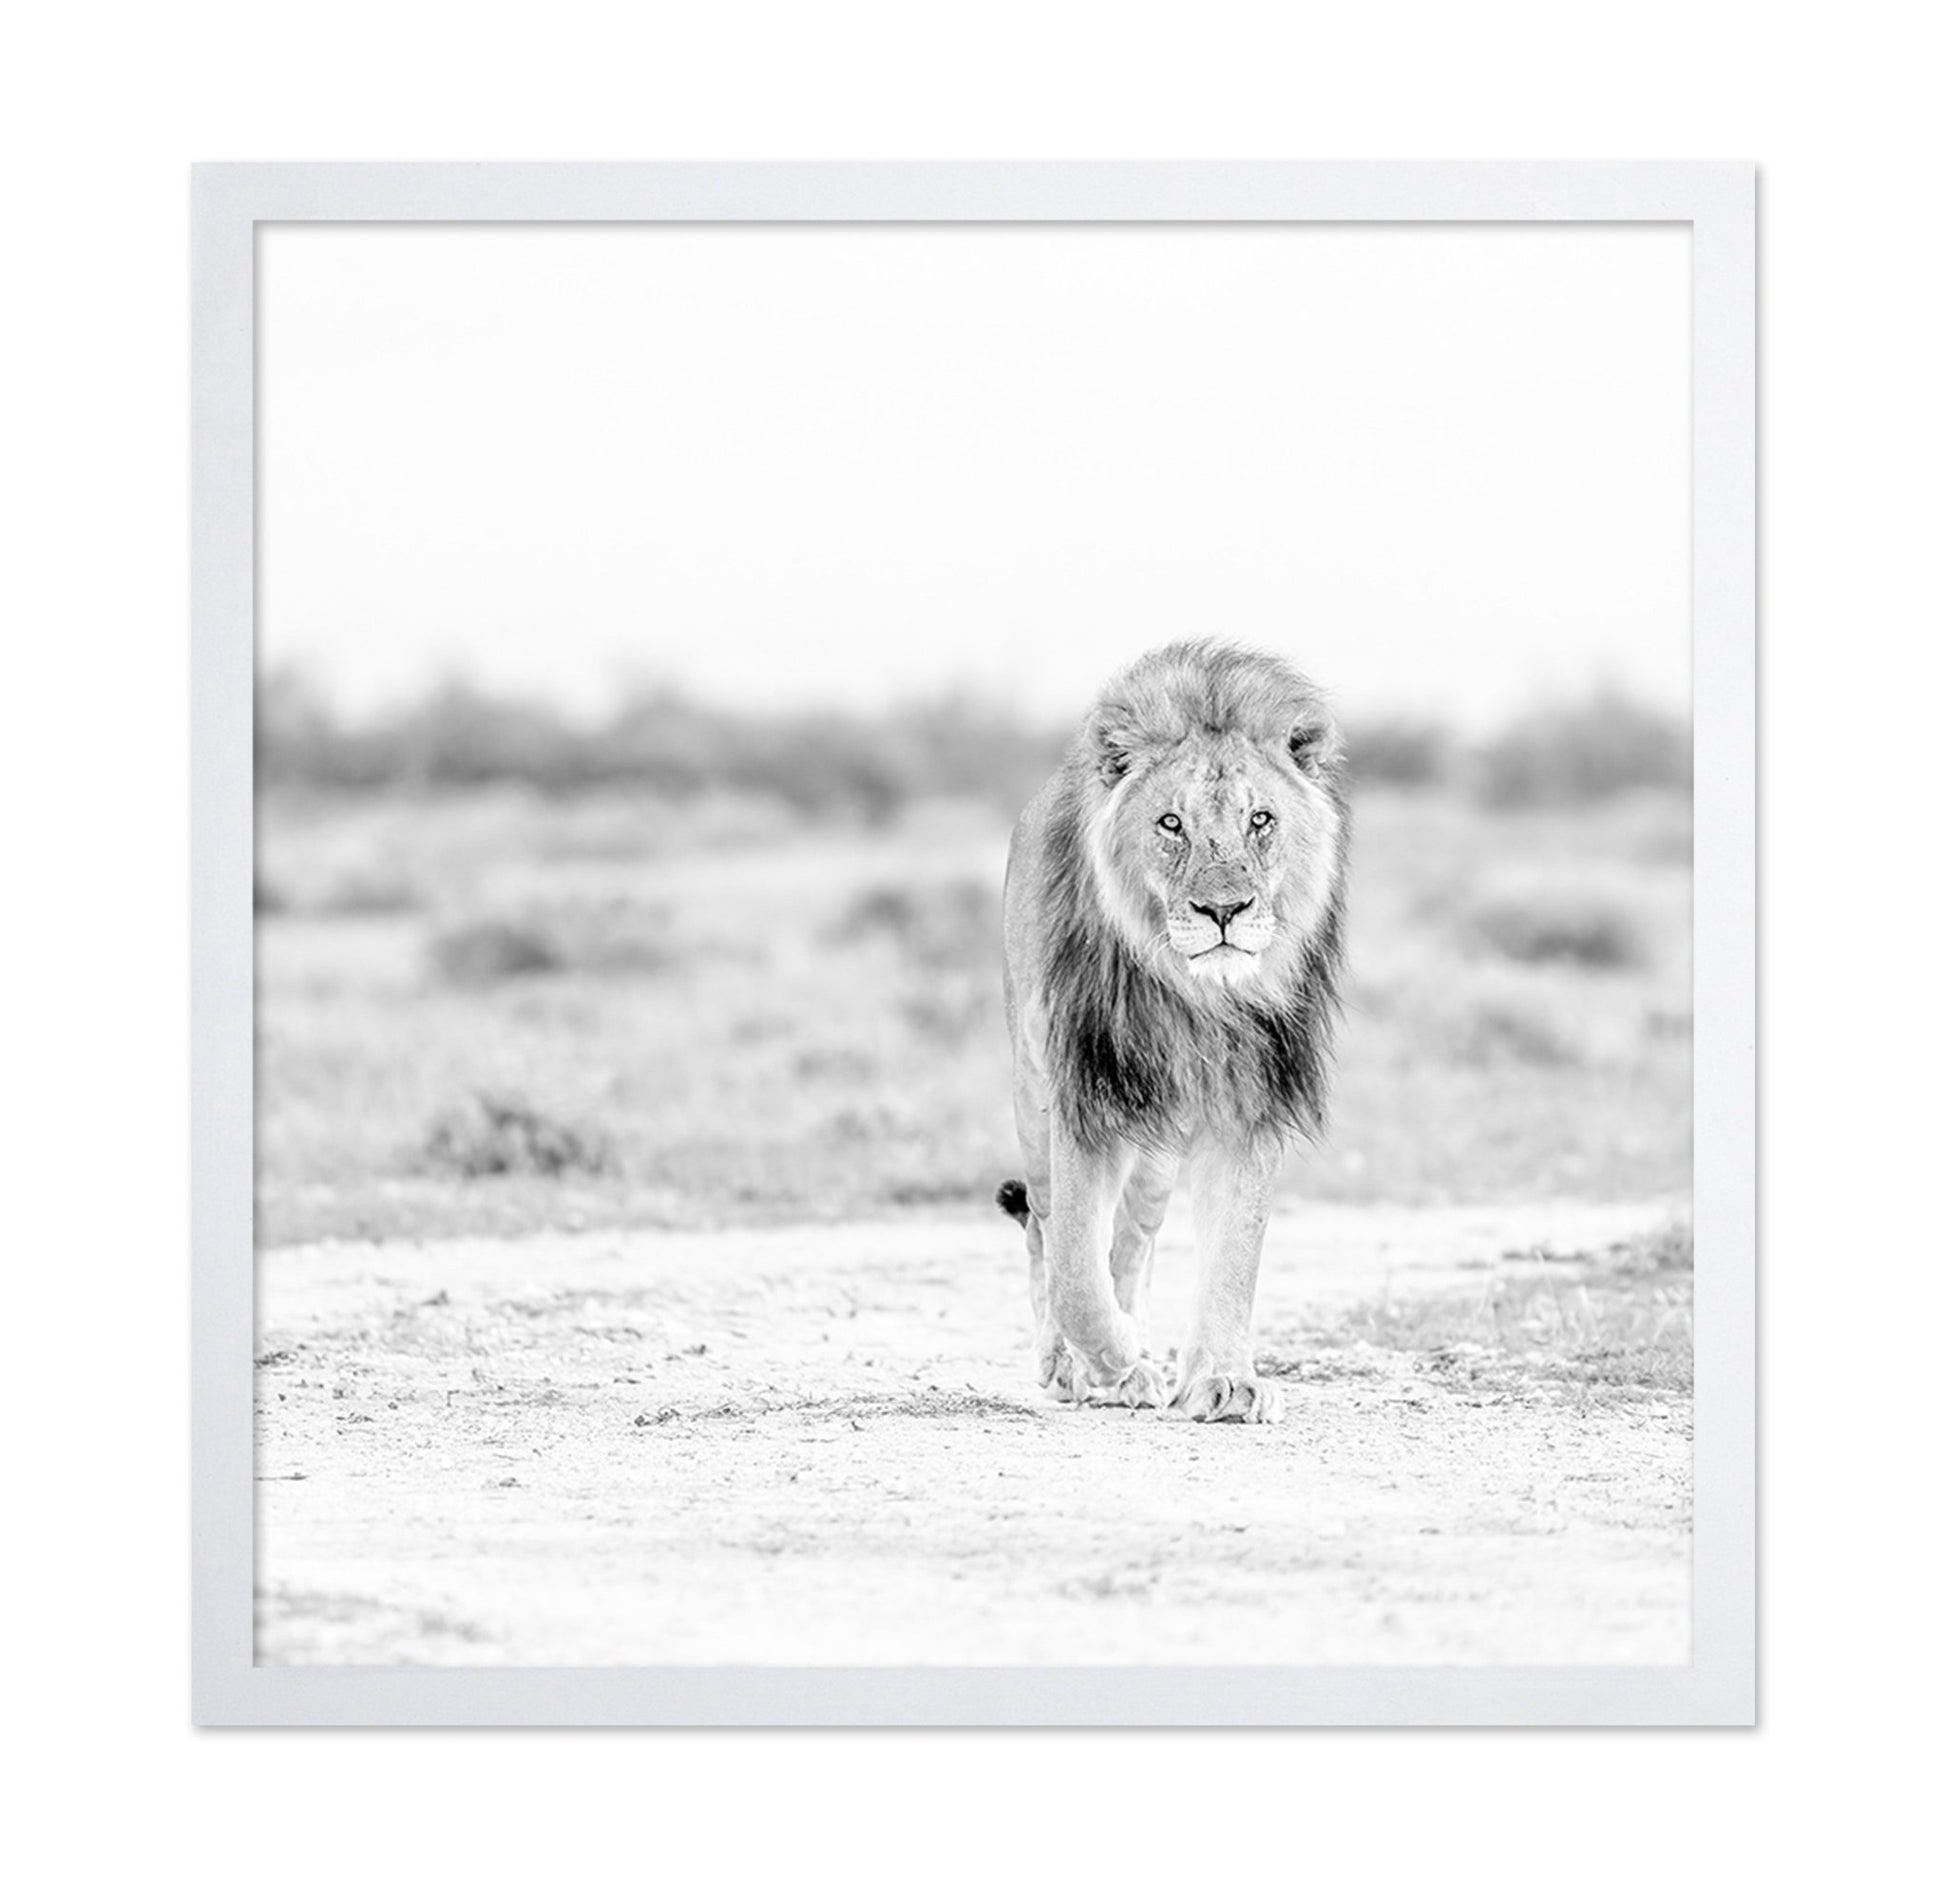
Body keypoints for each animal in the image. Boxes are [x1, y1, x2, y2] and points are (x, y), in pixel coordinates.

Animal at [996, 639, 1348, 1424]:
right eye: (1170, 824)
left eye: (1260, 819)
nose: (1224, 910)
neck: (1194, 997)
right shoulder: (1085, 1094)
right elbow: (1074, 1270)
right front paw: (1113, 1362)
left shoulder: (1249, 1102)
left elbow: (1234, 1256)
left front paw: (1224, 1379)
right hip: (1035, 1099)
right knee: (1045, 1225)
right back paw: (1075, 1364)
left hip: (1156, 1150)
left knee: (1133, 1240)